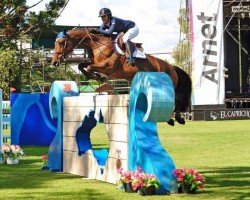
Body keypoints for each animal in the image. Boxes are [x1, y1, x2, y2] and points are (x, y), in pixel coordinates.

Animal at [51, 28, 191, 125]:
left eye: (61, 42)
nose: (54, 62)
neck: (97, 44)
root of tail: (172, 66)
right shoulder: (94, 62)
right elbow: (81, 65)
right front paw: (96, 77)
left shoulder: (108, 66)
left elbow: (90, 67)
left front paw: (98, 77)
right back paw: (172, 119)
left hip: (167, 84)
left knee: (177, 98)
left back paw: (177, 118)